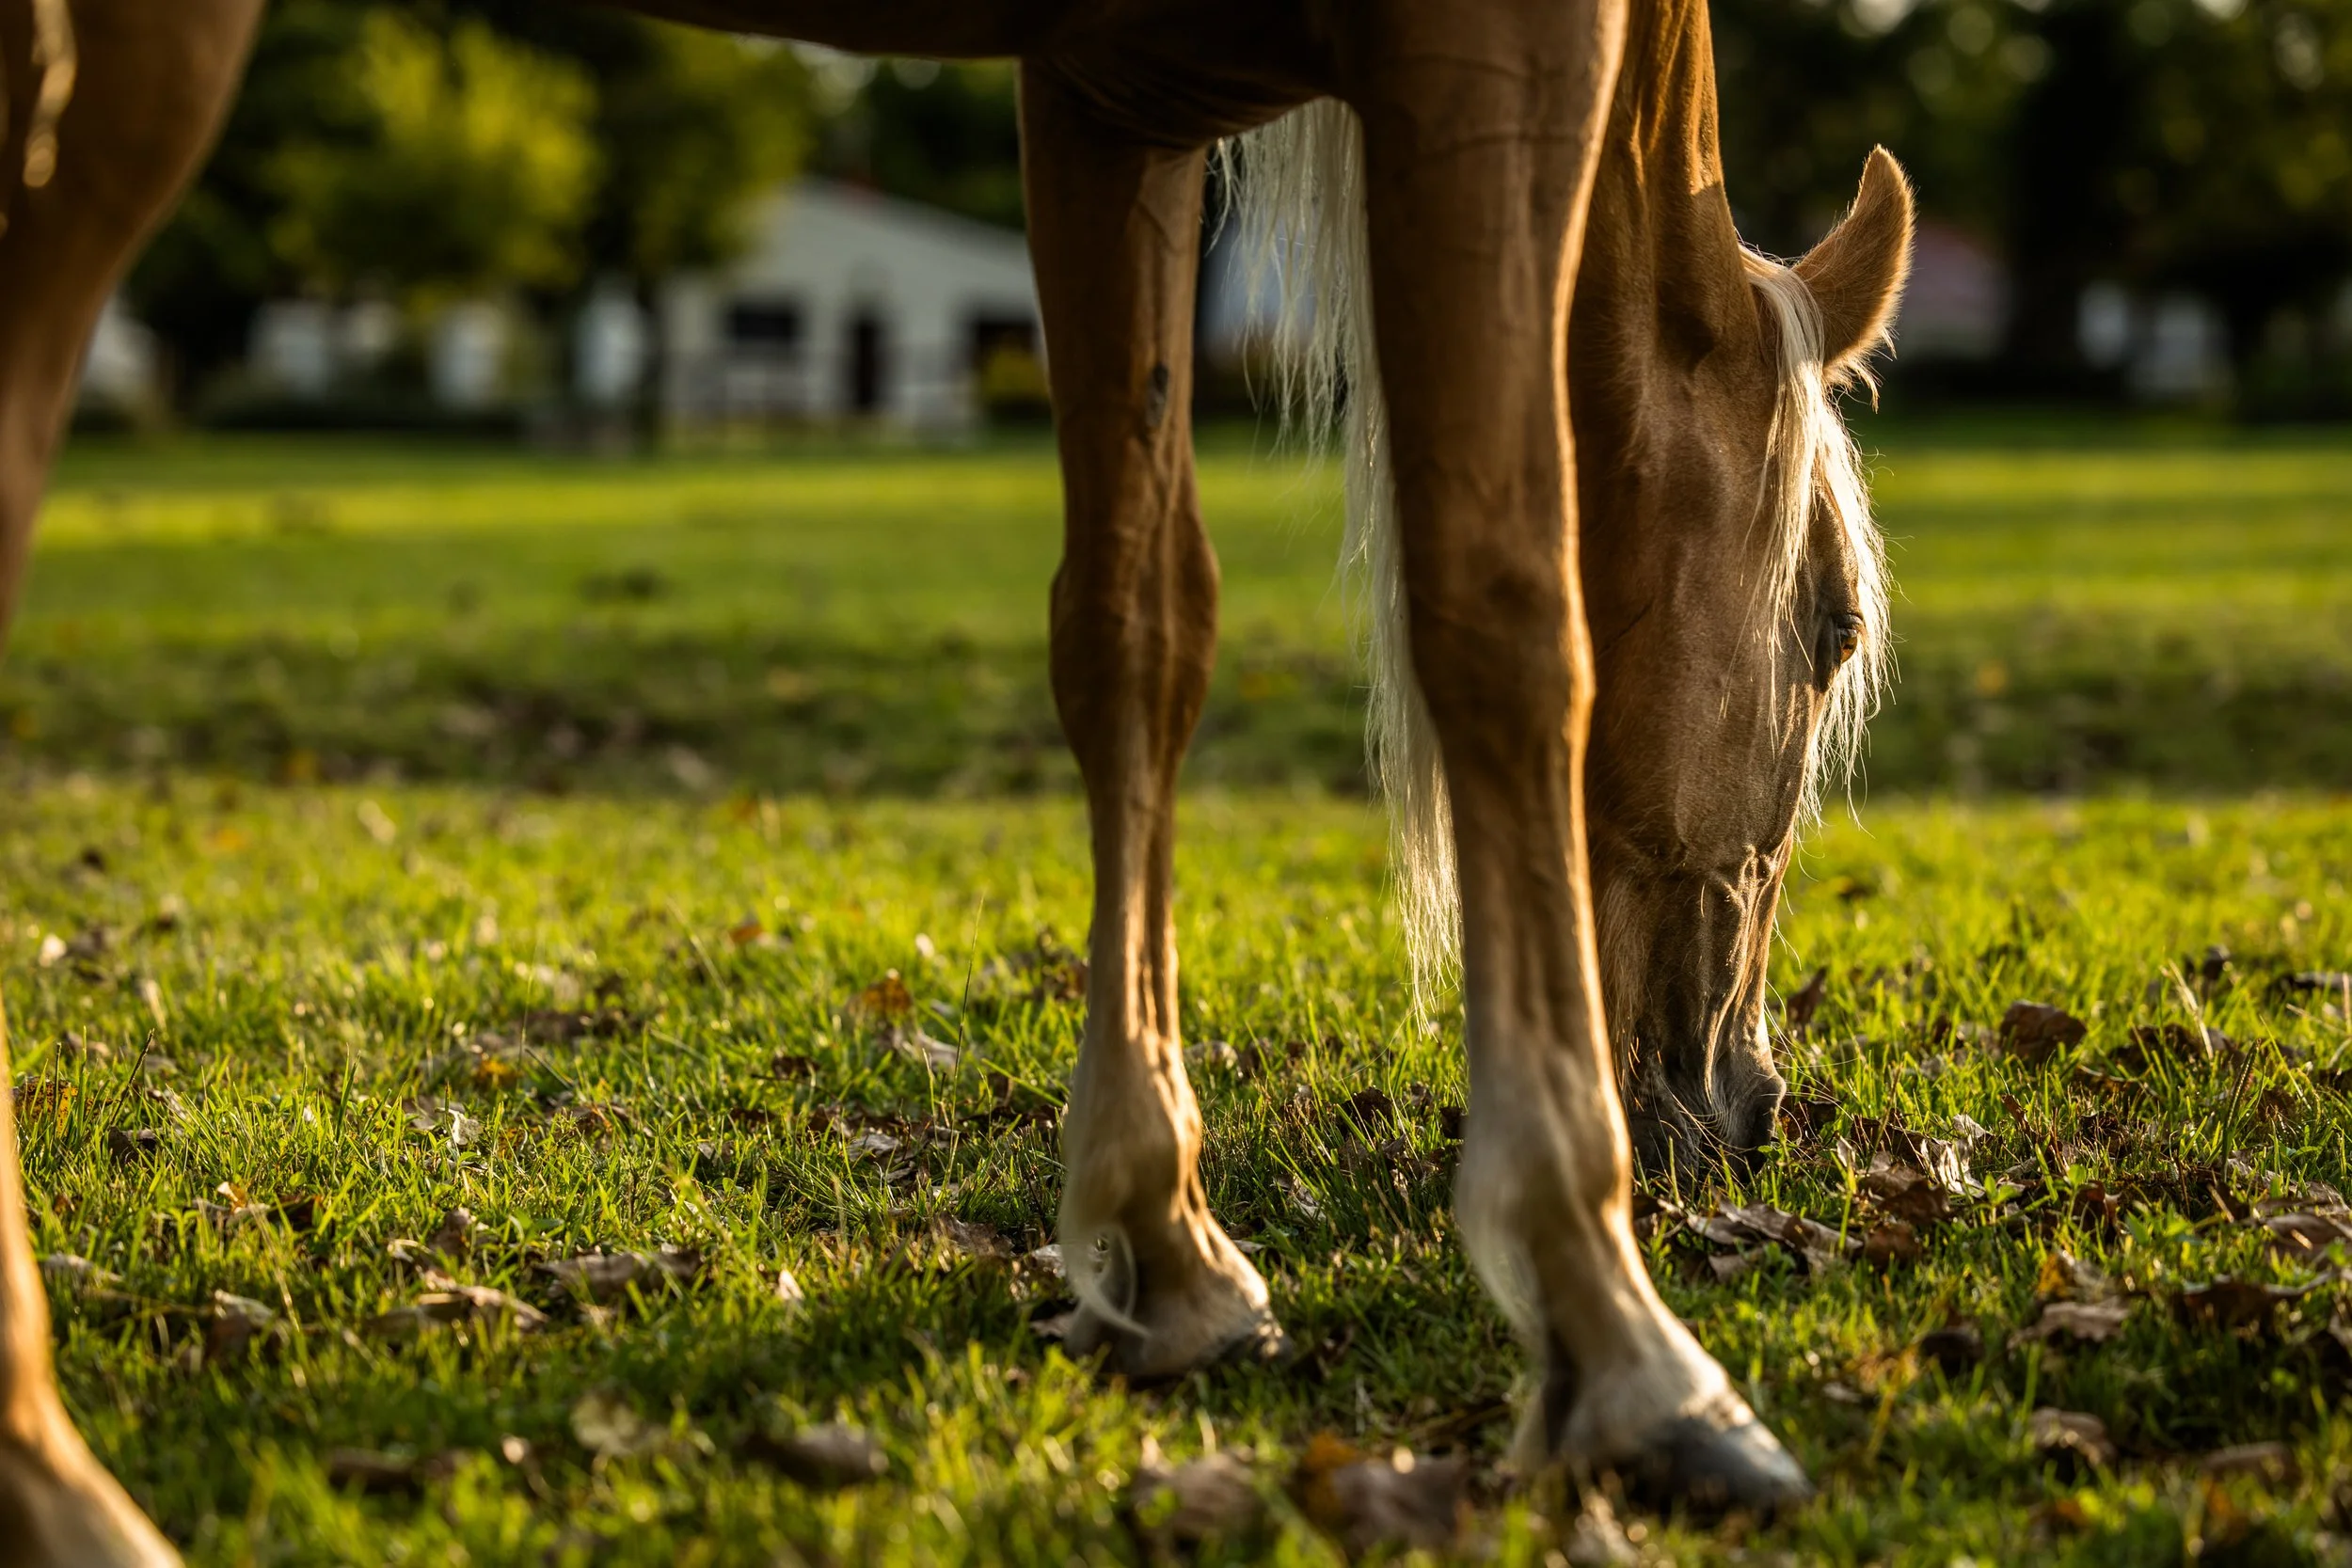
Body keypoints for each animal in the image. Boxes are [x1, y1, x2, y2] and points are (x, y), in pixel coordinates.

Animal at [0, 0, 1910, 1559]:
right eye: (1825, 627)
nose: (1743, 1097)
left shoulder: (1109, 92)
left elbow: (1139, 625)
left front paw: (1158, 1237)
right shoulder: (1487, 57)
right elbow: (1505, 604)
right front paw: (1620, 1335)